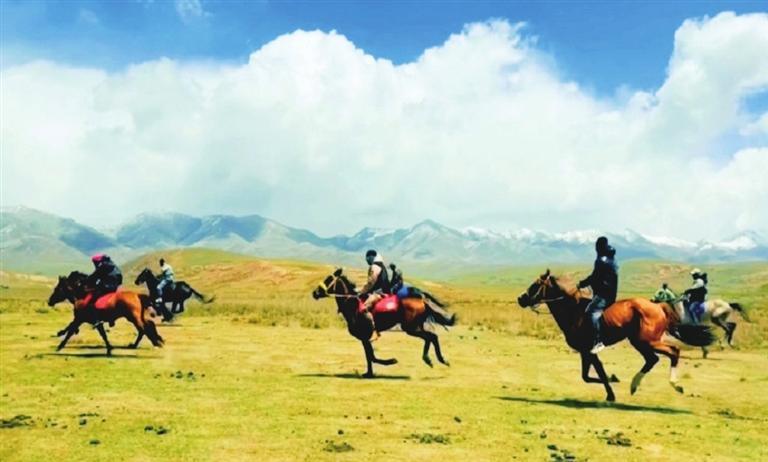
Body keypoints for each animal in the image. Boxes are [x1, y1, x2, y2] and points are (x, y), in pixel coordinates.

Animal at [311, 268, 456, 378]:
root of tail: (421, 300)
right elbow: (369, 355)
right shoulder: (365, 338)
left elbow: (372, 356)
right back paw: (435, 360)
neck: (353, 305)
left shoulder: (365, 336)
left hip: (411, 328)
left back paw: (434, 359)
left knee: (431, 336)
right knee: (431, 337)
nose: (315, 293)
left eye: (328, 279)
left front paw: (391, 361)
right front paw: (369, 373)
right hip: (415, 327)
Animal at [517, 270, 716, 401]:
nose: (521, 299)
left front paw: (612, 390)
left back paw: (676, 385)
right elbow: (588, 376)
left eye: (535, 285)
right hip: (639, 342)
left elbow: (596, 374)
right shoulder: (586, 351)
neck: (574, 312)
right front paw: (613, 384)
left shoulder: (588, 351)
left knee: (673, 352)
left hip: (647, 341)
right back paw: (634, 385)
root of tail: (658, 306)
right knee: (652, 360)